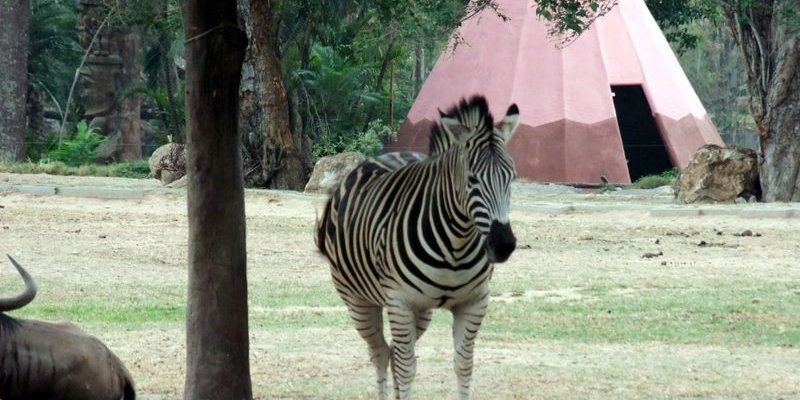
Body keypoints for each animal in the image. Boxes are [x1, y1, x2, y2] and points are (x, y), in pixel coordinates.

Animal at [316, 95, 520, 398]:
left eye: (512, 177)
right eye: (472, 179)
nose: (504, 244)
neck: (456, 244)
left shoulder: (474, 302)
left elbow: (463, 366)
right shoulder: (401, 301)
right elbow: (406, 369)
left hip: (421, 312)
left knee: (393, 352)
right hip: (357, 299)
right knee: (382, 354)